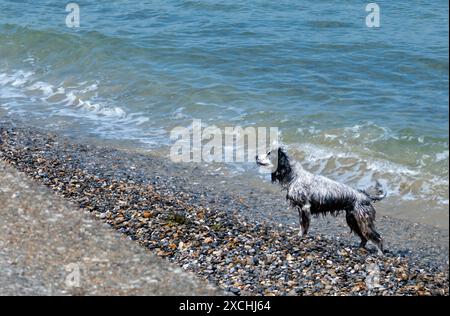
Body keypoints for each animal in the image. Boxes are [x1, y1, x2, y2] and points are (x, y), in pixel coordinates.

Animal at [256, 146, 386, 254]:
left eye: (269, 153)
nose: (256, 156)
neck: (295, 176)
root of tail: (366, 196)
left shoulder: (305, 207)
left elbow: (303, 225)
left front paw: (301, 236)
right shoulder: (301, 209)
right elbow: (301, 225)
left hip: (363, 221)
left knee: (378, 238)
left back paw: (379, 254)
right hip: (353, 220)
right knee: (365, 238)